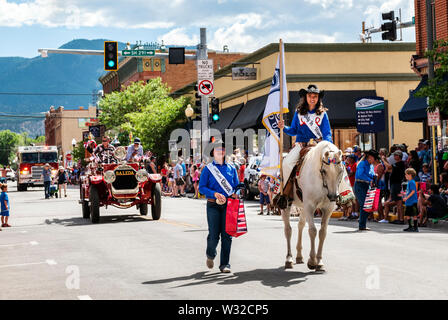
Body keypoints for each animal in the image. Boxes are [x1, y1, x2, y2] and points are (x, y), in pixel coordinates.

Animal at [280, 141, 346, 272]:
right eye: (324, 171)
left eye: (341, 170)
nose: (333, 196)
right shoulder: (310, 206)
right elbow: (312, 231)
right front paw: (312, 261)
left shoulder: (328, 208)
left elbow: (322, 232)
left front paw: (319, 262)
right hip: (288, 204)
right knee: (288, 230)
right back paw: (289, 259)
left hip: (303, 206)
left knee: (300, 225)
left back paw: (299, 256)